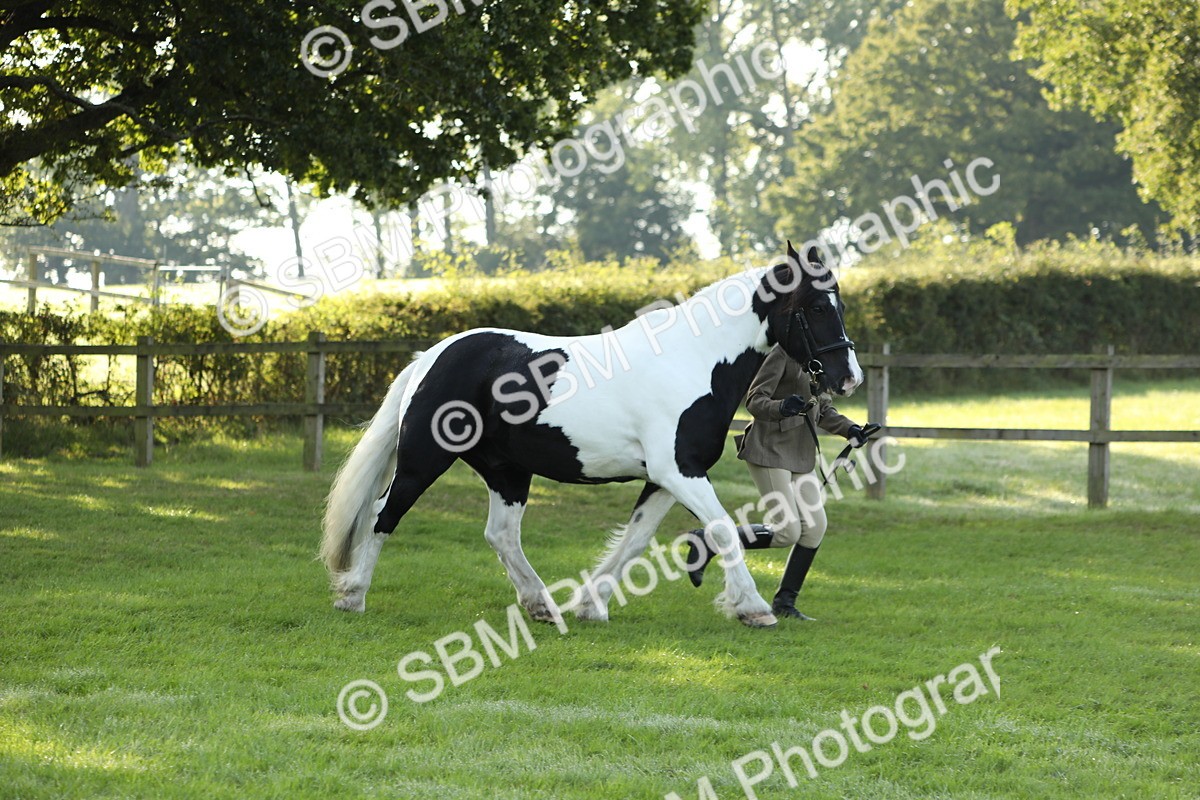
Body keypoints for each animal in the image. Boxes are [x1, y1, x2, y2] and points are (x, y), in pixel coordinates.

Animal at [320, 242, 863, 628]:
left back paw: (542, 606)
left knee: (501, 535)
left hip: (506, 470)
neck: (695, 361)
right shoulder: (679, 472)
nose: (848, 376)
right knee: (383, 515)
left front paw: (590, 604)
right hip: (424, 458)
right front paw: (753, 608)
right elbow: (723, 528)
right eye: (817, 307)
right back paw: (352, 596)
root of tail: (430, 357)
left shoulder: (665, 479)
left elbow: (636, 540)